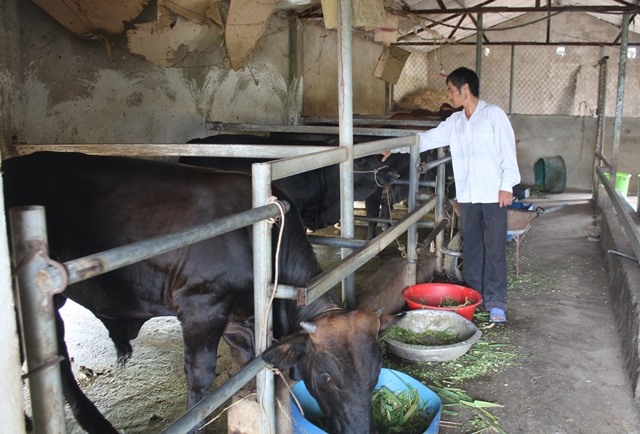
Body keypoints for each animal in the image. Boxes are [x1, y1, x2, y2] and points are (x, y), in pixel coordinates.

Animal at [5, 153, 402, 434]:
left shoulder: (241, 318)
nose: (362, 430)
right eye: (326, 378)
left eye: (375, 374)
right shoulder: (201, 308)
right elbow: (200, 380)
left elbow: (249, 365)